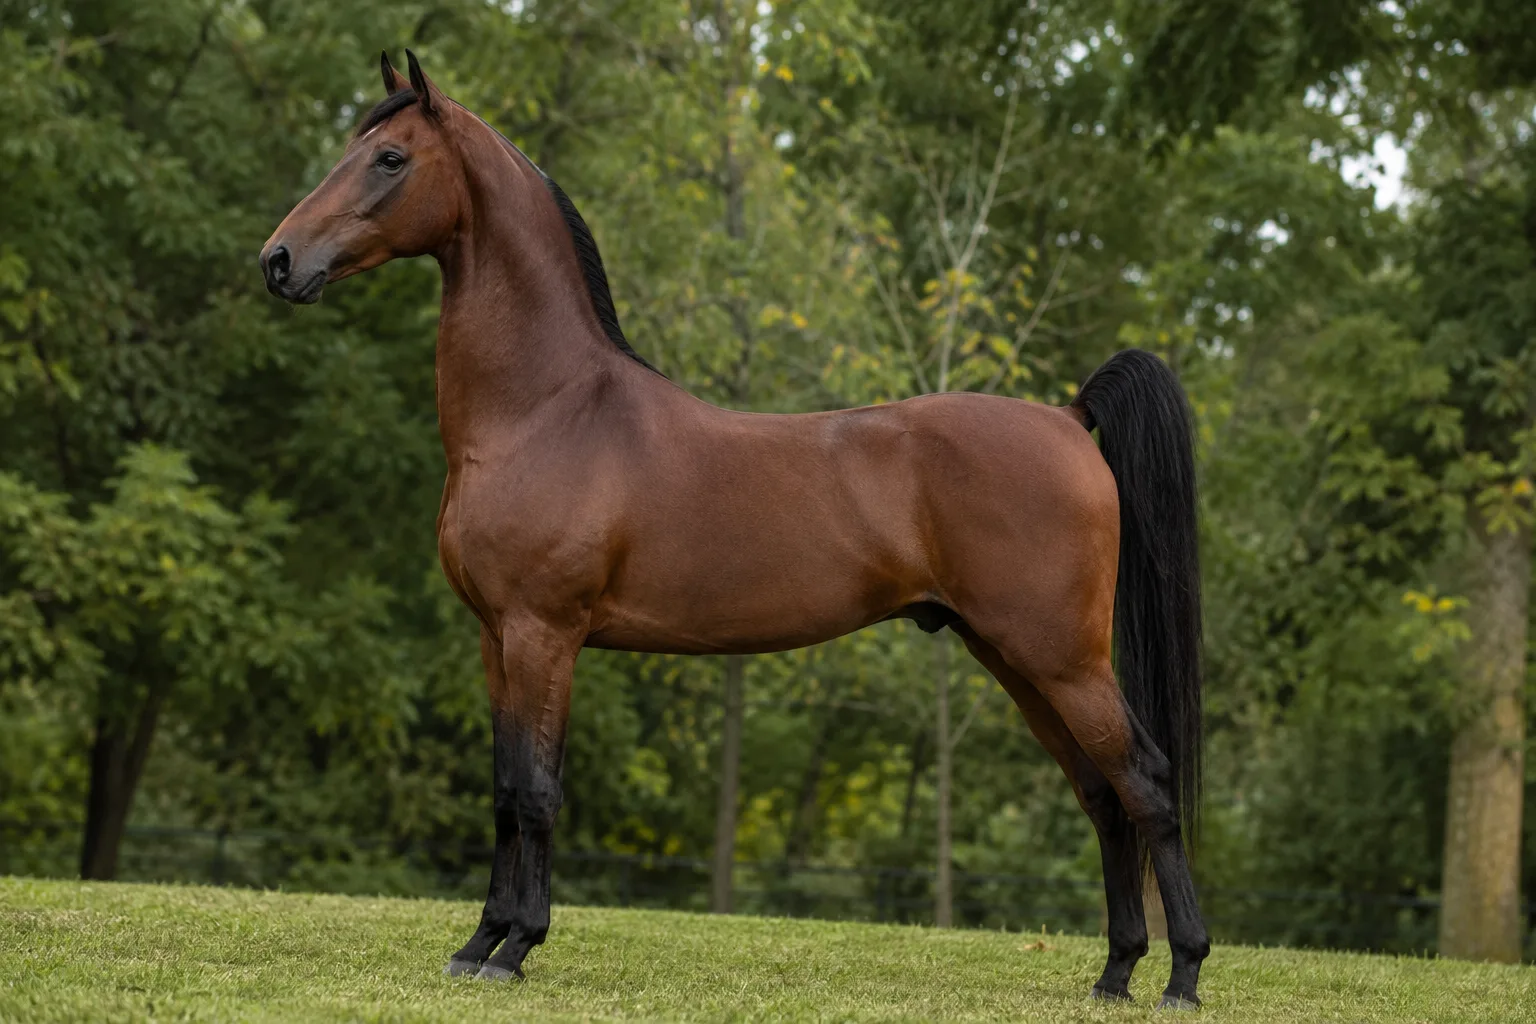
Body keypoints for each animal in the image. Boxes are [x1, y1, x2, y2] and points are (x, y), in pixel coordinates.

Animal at [260, 50, 1210, 1008]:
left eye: (388, 159)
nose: (278, 260)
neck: (547, 410)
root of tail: (1068, 416)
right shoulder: (495, 639)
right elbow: (501, 789)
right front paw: (478, 941)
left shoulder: (543, 634)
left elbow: (535, 791)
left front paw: (515, 947)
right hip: (1015, 658)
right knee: (1101, 793)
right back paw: (1115, 971)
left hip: (1062, 659)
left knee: (1146, 782)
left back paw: (1183, 974)